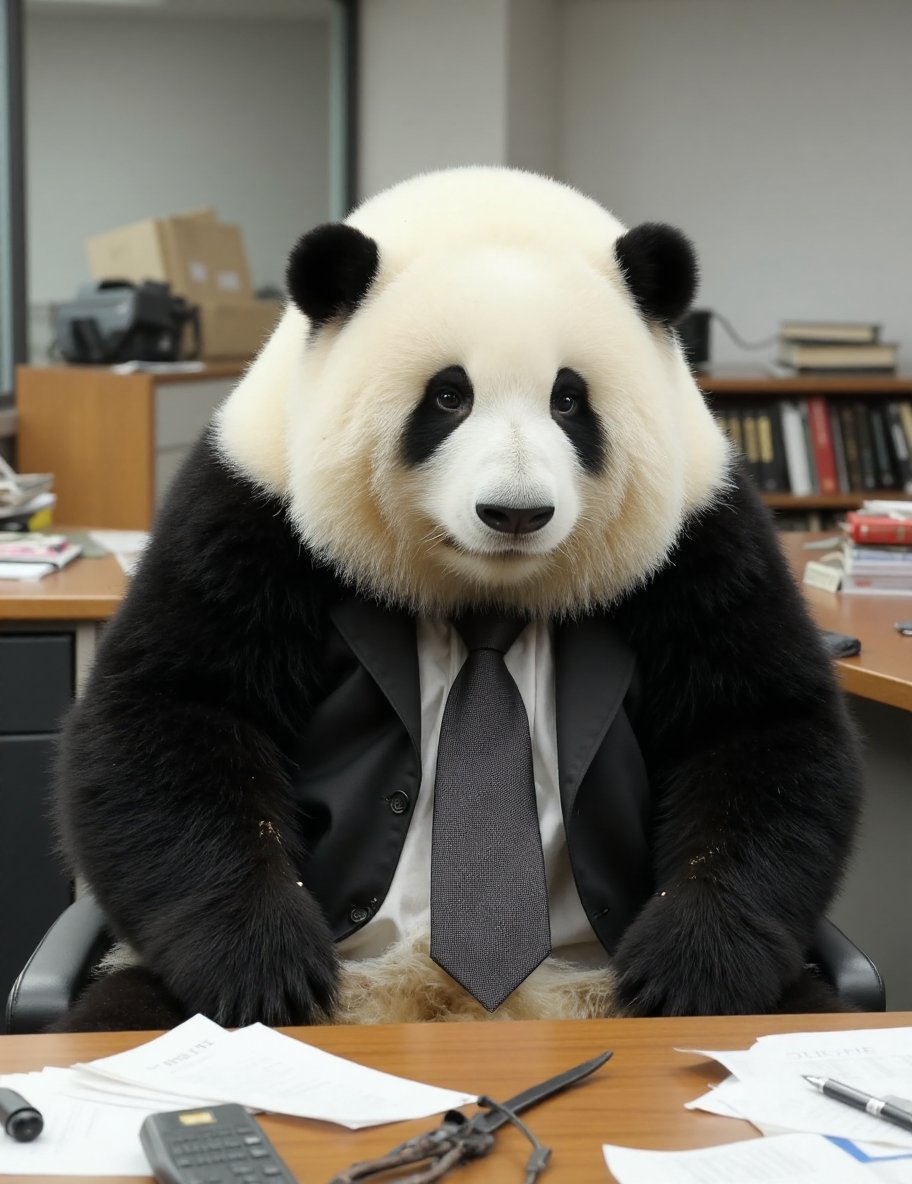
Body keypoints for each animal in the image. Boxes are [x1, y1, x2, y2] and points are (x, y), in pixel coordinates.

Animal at [56, 162, 862, 1032]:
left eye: (569, 400)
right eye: (448, 396)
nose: (515, 512)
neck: (484, 587)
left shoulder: (698, 532)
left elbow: (754, 724)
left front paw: (690, 972)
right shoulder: (253, 509)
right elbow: (177, 705)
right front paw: (263, 963)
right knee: (121, 1010)